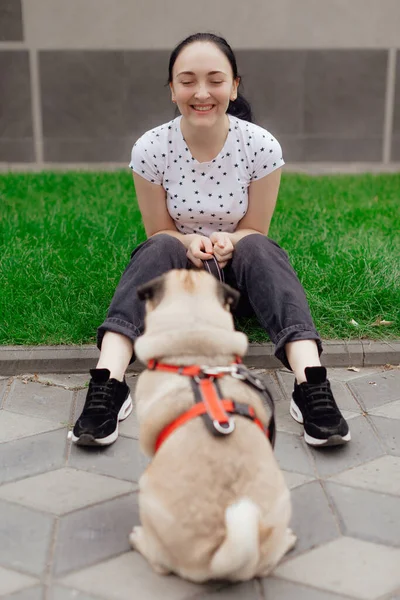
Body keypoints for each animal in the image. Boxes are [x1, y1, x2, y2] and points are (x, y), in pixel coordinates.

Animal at [130, 270, 296, 584]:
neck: (196, 356)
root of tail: (217, 553)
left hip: (146, 497)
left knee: (161, 563)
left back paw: (139, 539)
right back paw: (288, 540)